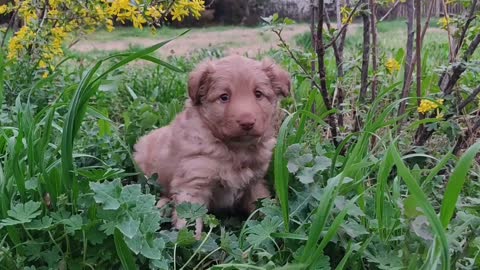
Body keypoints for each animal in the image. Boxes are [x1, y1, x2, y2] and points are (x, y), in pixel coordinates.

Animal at [133, 55, 290, 238]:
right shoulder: (193, 183)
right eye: (224, 97)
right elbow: (190, 221)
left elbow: (264, 206)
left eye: (258, 94)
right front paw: (191, 243)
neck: (235, 149)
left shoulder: (255, 182)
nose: (247, 123)